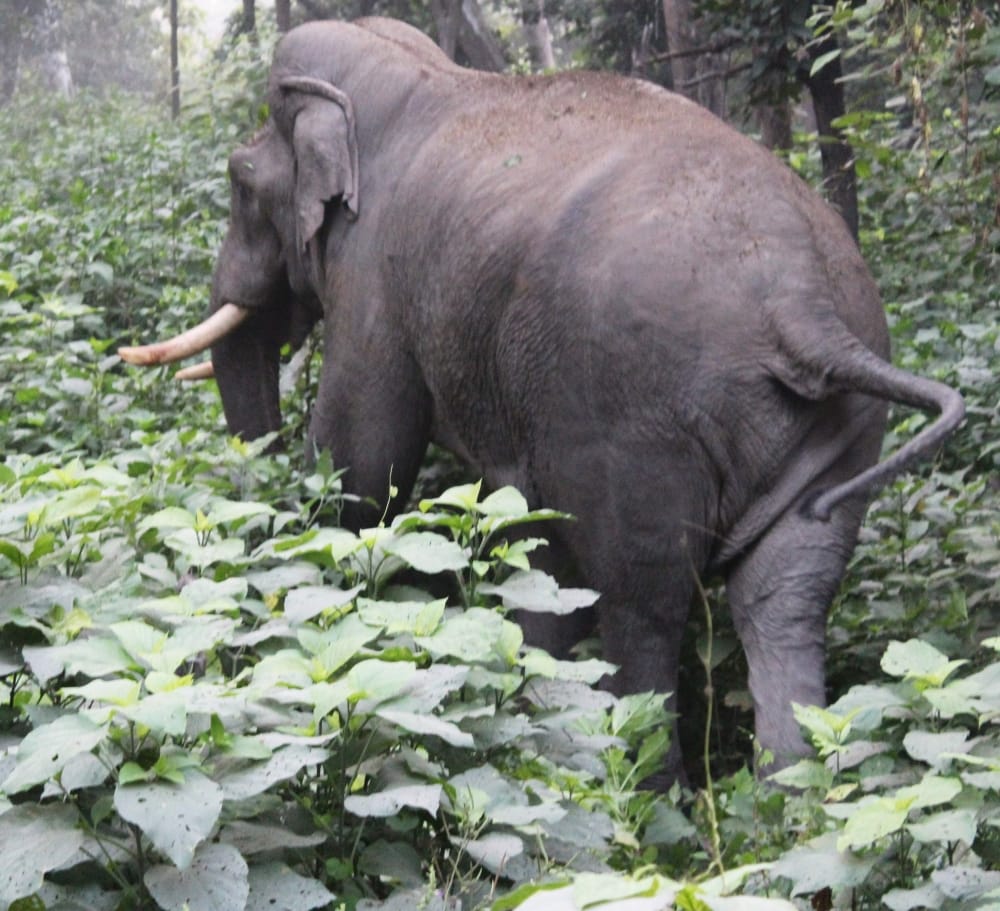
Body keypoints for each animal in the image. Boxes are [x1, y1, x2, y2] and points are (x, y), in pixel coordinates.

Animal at [120, 17, 964, 779]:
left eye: (238, 179)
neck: (403, 70)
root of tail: (804, 310)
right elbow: (526, 535)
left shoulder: (375, 277)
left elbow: (363, 461)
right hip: (841, 432)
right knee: (786, 595)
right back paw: (786, 802)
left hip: (638, 420)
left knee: (642, 602)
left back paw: (641, 796)